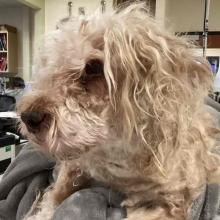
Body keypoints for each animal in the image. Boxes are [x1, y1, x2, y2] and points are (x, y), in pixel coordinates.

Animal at [16, 2, 220, 220]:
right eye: (52, 66)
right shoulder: (78, 165)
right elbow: (53, 199)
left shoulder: (173, 201)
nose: (28, 117)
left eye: (94, 67)